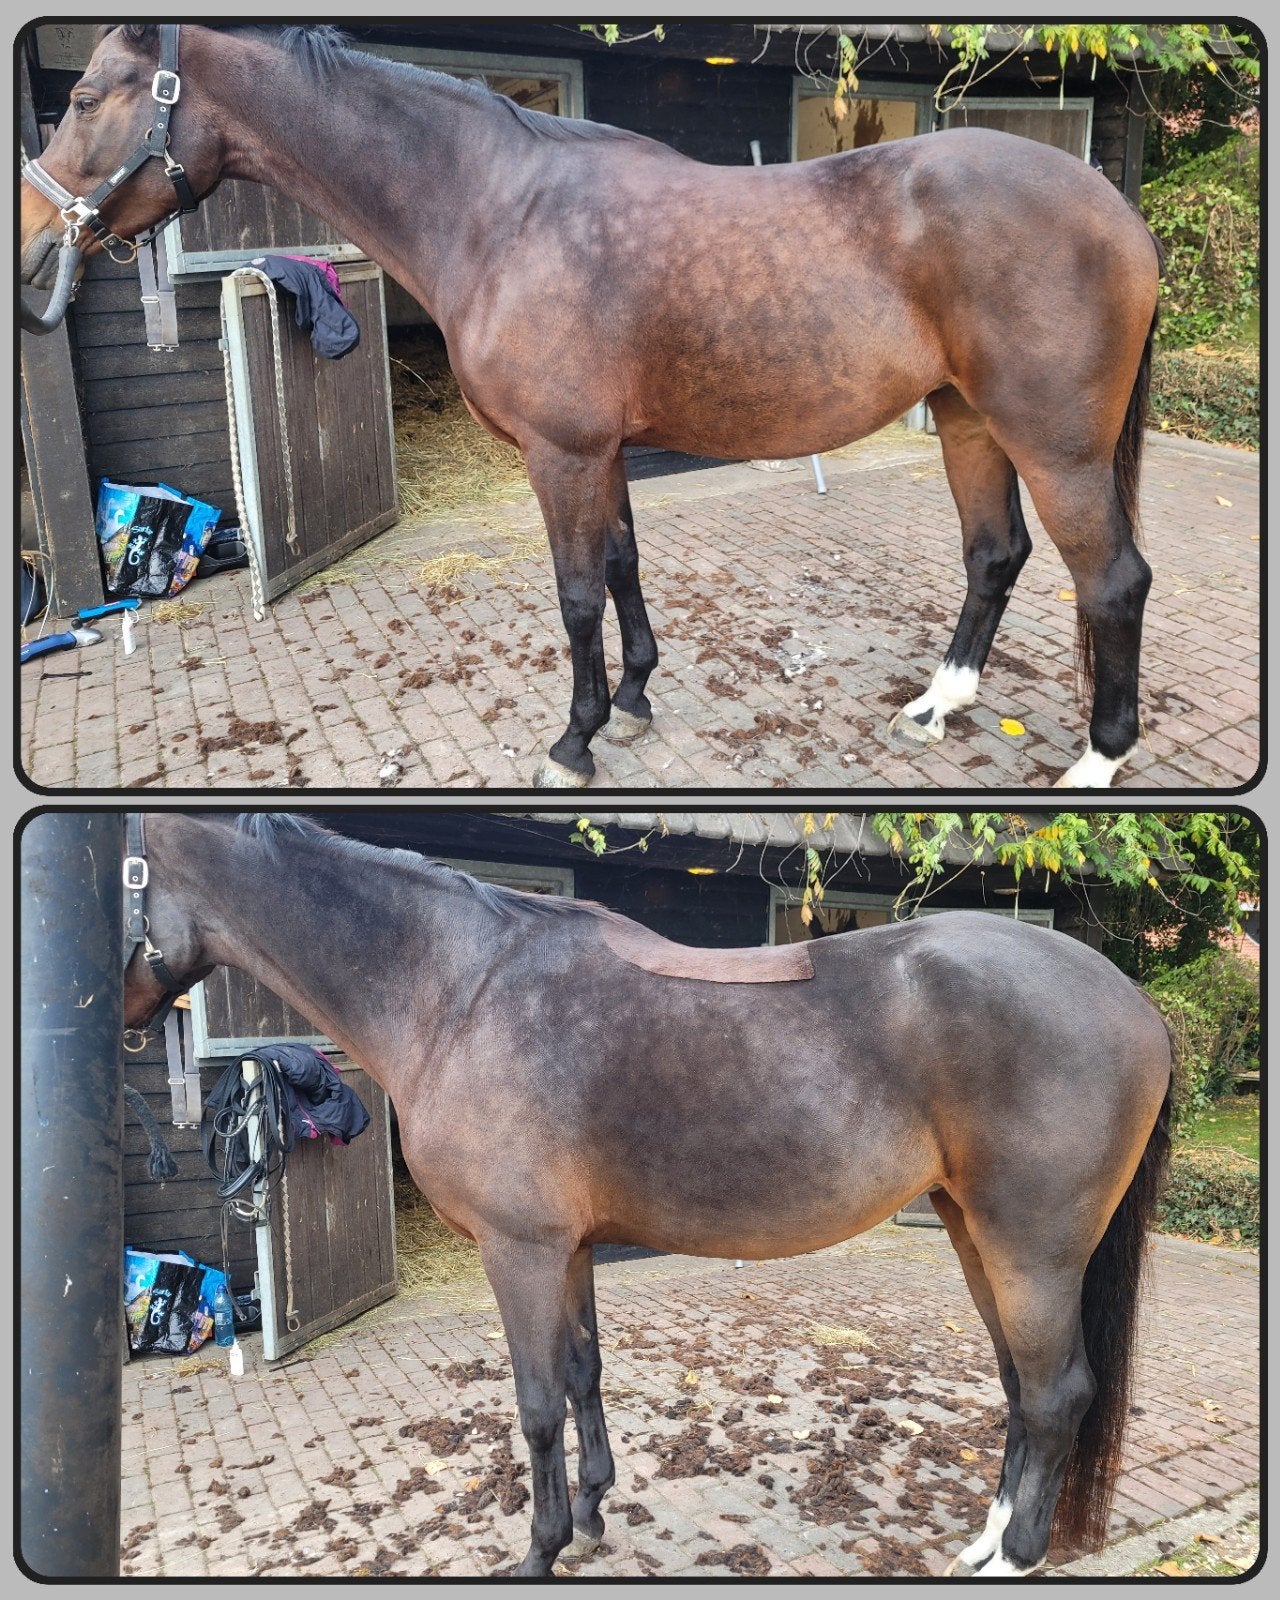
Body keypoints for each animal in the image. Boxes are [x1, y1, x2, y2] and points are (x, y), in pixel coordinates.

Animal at [21, 25, 1164, 790]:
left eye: (84, 97)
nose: (33, 241)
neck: (498, 208)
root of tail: (1118, 213)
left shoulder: (560, 453)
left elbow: (574, 595)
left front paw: (574, 740)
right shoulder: (601, 450)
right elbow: (620, 567)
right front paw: (636, 697)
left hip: (1055, 448)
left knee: (1111, 581)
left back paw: (1096, 765)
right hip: (968, 420)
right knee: (994, 556)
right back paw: (938, 703)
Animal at [121, 811, 1174, 1577]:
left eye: (119, 886)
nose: (122, 1016)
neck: (457, 991)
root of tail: (1133, 1001)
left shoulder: (520, 1249)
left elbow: (537, 1401)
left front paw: (539, 1550)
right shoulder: (572, 1248)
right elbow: (585, 1374)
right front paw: (592, 1511)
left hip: (1032, 1250)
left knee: (1056, 1396)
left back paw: (1017, 1557)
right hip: (973, 1233)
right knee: (1020, 1387)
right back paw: (985, 1542)